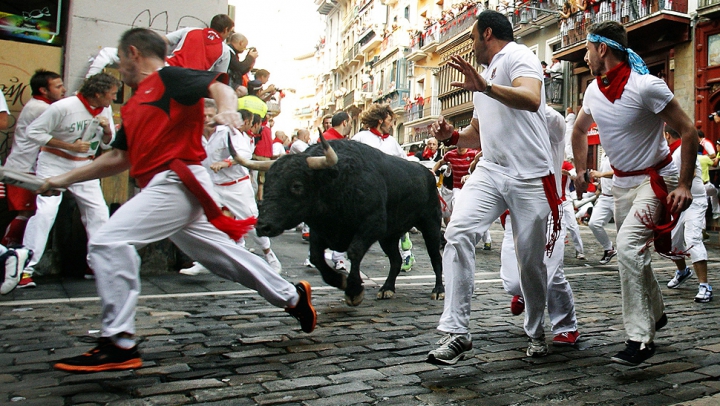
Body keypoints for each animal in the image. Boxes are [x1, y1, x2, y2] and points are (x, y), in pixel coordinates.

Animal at [253, 139, 444, 304]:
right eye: (268, 183)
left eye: (297, 185)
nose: (262, 226)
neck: (338, 181)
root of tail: (427, 174)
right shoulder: (320, 231)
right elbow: (316, 256)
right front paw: (339, 281)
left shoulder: (372, 226)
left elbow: (354, 252)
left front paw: (353, 291)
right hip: (389, 236)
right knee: (396, 260)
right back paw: (387, 288)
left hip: (431, 225)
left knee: (435, 256)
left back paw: (438, 290)